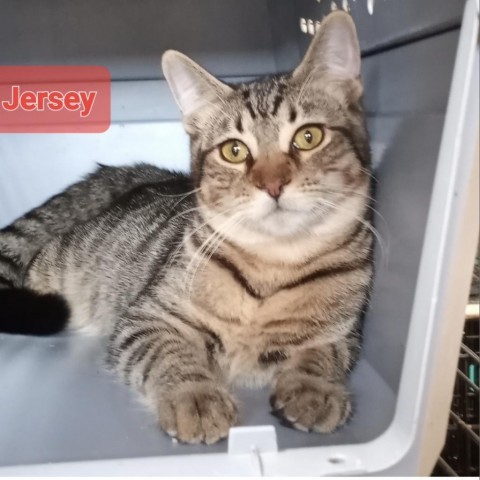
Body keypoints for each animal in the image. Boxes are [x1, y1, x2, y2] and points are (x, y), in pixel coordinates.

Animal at [0, 11, 376, 444]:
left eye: (308, 136)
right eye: (234, 150)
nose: (272, 184)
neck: (274, 265)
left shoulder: (347, 333)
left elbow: (324, 353)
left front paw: (314, 389)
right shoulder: (148, 319)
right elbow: (171, 354)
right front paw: (195, 397)